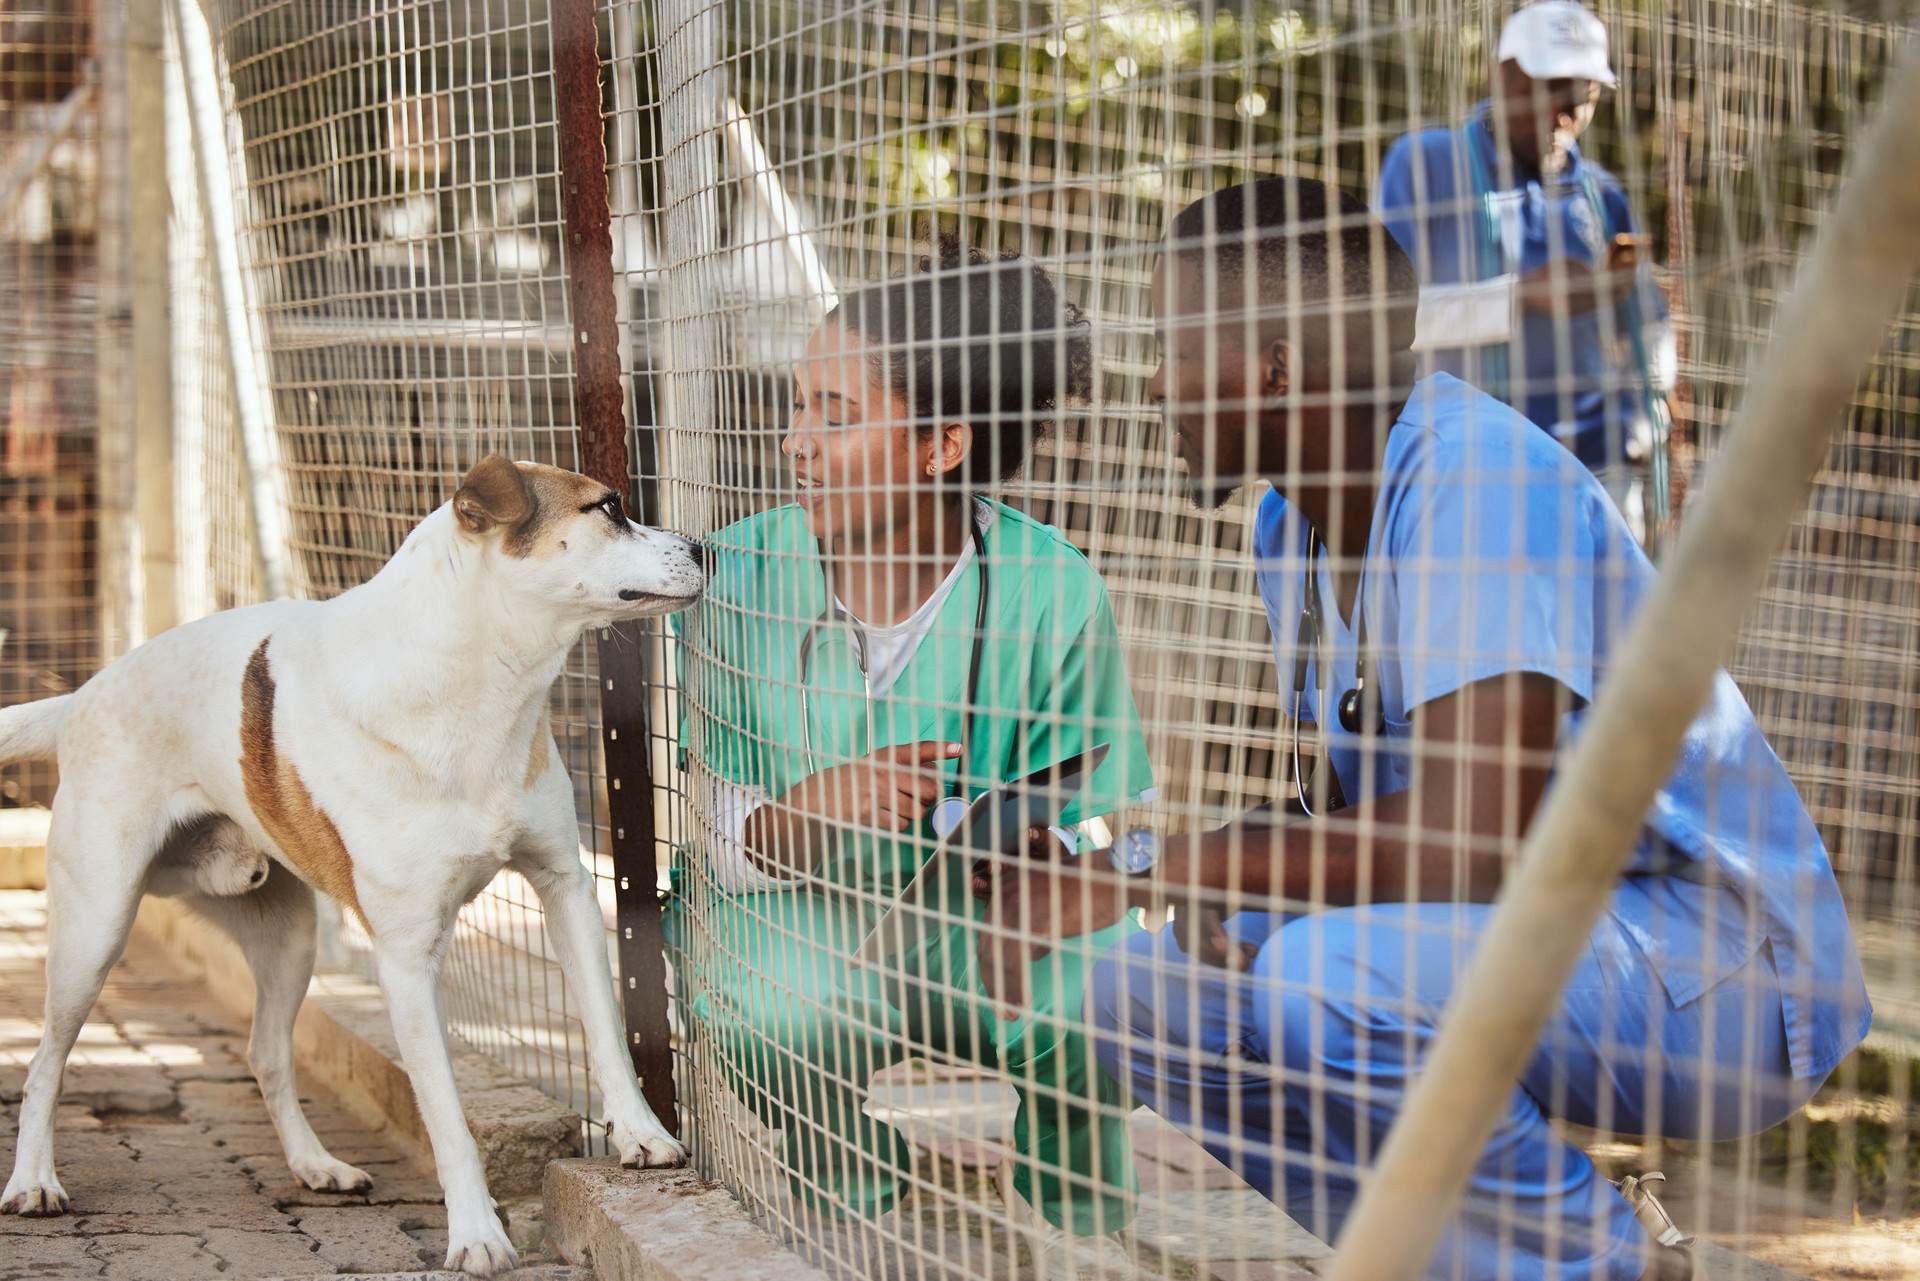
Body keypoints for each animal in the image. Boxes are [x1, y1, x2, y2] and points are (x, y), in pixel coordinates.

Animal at [0, 455, 706, 1275]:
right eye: (610, 507)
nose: (703, 545)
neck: (475, 682)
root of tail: (80, 696)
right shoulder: (406, 959)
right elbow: (446, 1118)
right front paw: (476, 1234)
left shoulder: (565, 888)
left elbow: (606, 1031)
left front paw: (643, 1135)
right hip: (96, 928)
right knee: (45, 1060)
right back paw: (33, 1181)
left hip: (288, 938)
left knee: (265, 1053)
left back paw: (316, 1165)